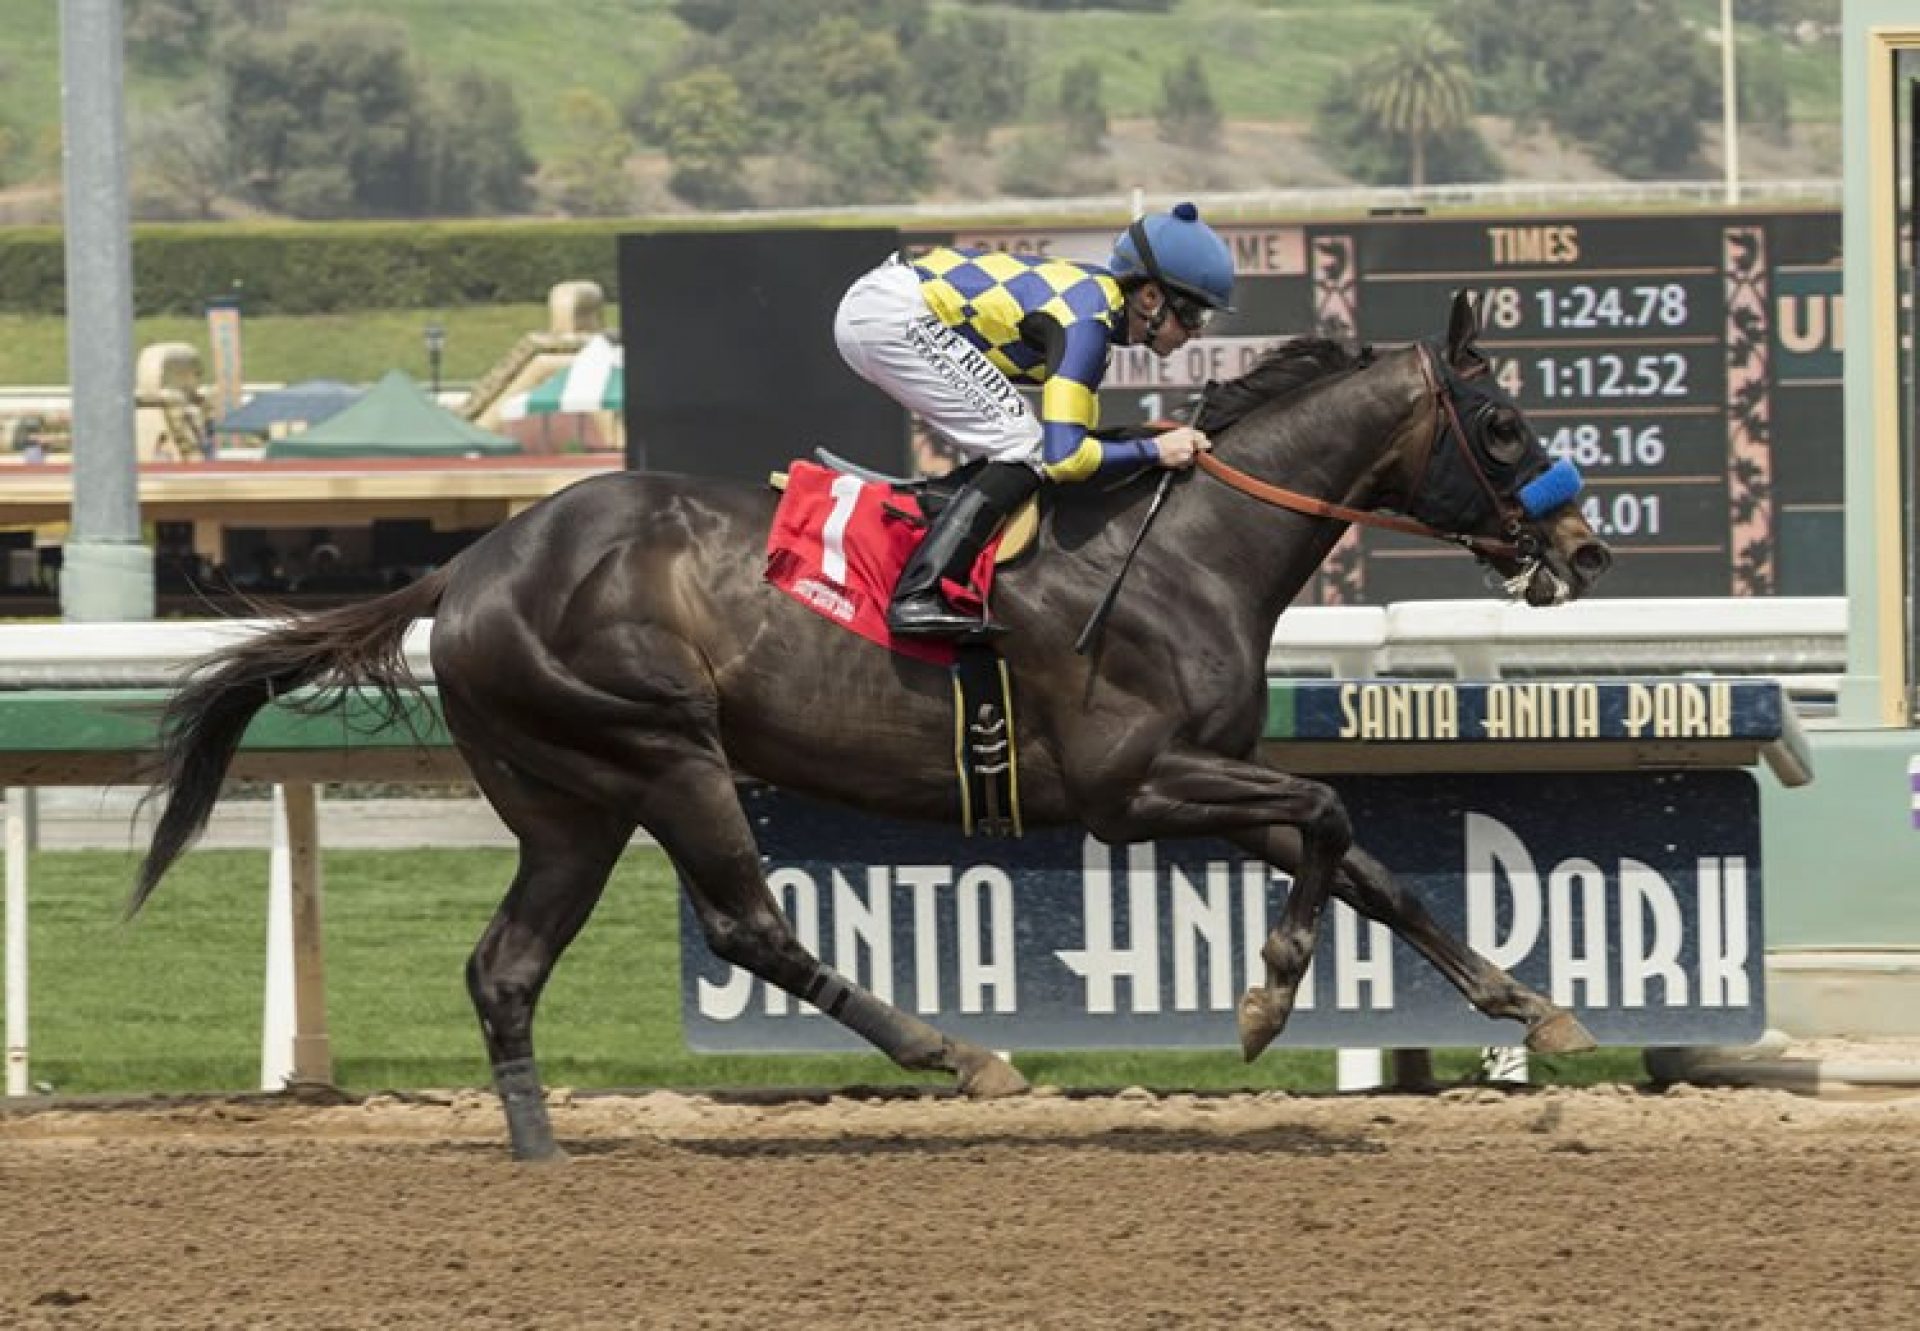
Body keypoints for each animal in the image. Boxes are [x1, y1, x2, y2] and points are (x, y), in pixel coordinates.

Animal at [135, 290, 1612, 1152]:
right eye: (1500, 418)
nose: (1585, 547)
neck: (1184, 545)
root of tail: (472, 562)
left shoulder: (1209, 770)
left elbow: (1368, 862)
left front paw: (1533, 1005)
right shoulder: (1135, 785)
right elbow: (1332, 810)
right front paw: (1265, 995)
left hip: (569, 802)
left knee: (505, 966)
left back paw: (543, 1149)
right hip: (661, 749)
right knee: (748, 925)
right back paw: (958, 1054)